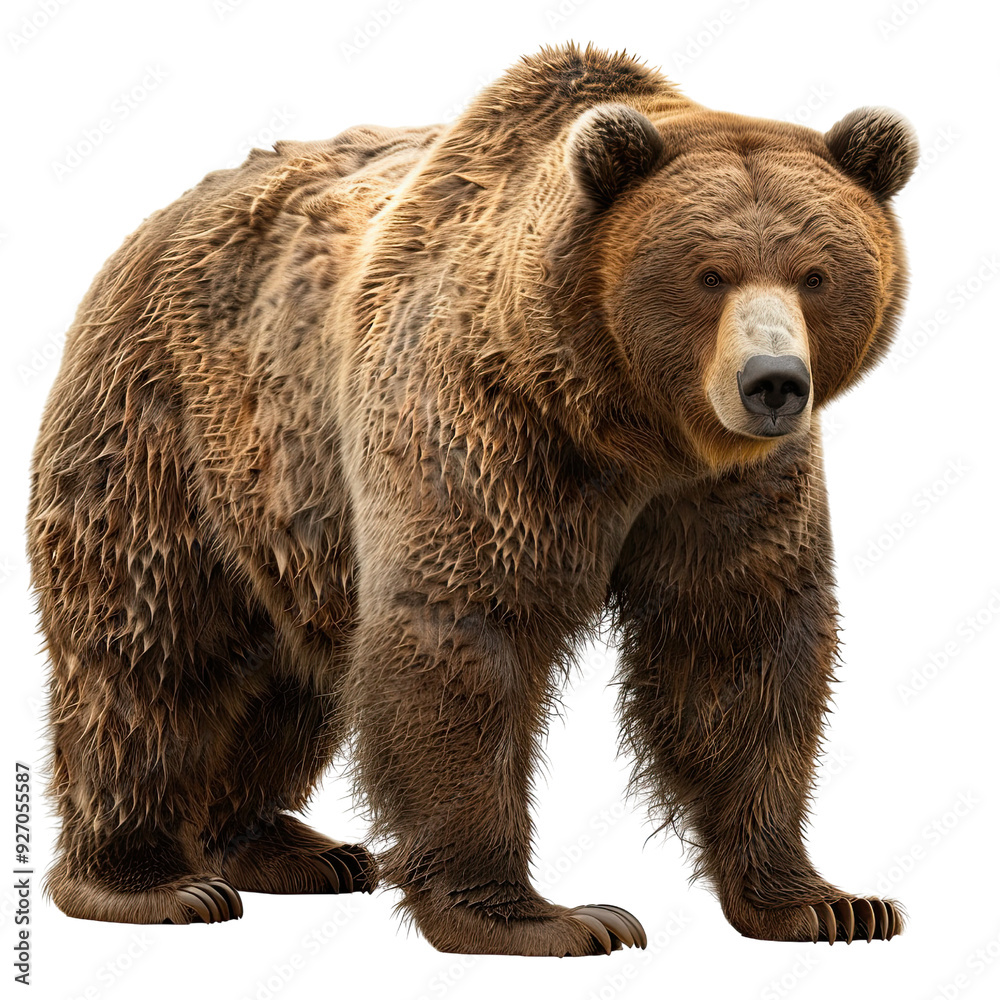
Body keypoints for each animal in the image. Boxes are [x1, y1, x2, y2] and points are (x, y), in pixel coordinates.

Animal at [27, 42, 917, 955]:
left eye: (817, 274)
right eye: (708, 273)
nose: (772, 382)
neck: (625, 418)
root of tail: (154, 223)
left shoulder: (730, 485)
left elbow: (737, 642)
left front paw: (826, 903)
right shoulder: (482, 421)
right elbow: (463, 628)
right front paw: (544, 917)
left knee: (291, 674)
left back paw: (286, 849)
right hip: (166, 426)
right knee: (149, 646)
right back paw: (151, 880)